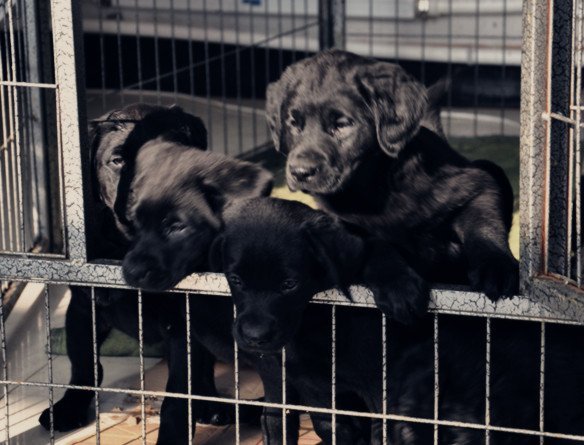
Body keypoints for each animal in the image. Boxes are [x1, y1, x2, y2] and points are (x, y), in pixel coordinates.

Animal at [212, 197, 584, 444]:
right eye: (236, 280)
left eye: (290, 284)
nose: (253, 336)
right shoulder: (295, 384)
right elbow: (298, 423)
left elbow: (377, 249)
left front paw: (400, 289)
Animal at [266, 48, 516, 318]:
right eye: (293, 123)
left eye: (342, 124)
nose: (300, 172)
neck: (373, 187)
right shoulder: (337, 227)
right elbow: (373, 244)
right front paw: (399, 286)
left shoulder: (476, 183)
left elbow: (483, 225)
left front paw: (497, 267)